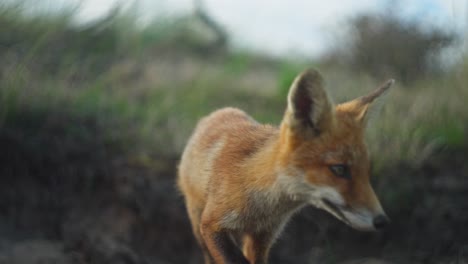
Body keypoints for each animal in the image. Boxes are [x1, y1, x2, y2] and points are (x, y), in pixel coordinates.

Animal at [177, 68, 394, 264]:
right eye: (339, 169)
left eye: (366, 171)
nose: (382, 221)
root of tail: (219, 111)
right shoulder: (212, 225)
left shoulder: (263, 236)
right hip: (197, 223)